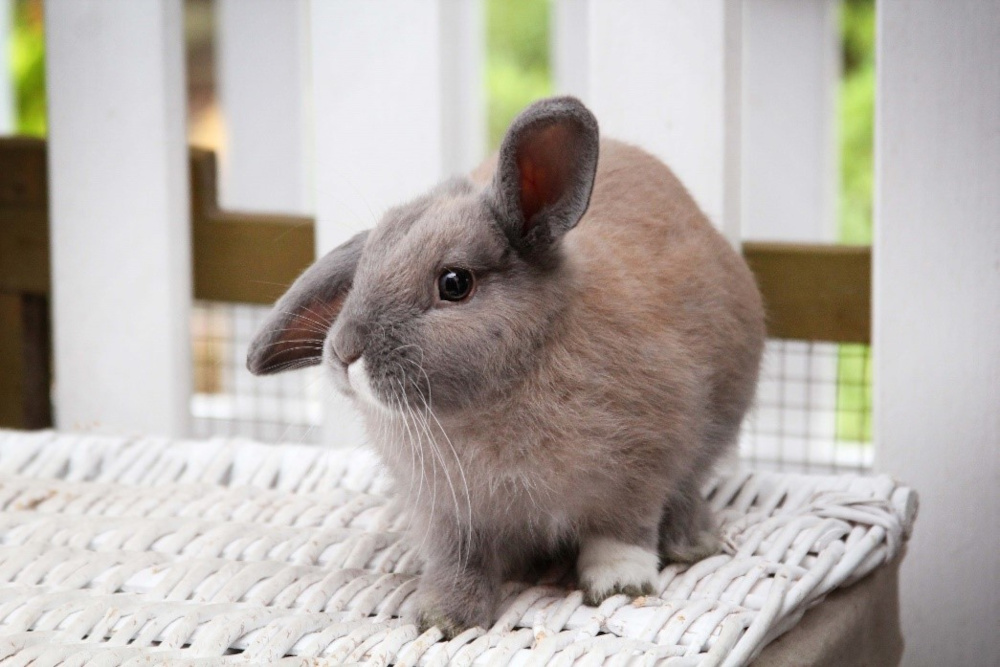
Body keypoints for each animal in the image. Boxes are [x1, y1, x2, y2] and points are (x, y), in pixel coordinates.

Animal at [247, 96, 765, 637]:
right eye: (359, 275)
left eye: (454, 283)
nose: (346, 351)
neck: (494, 398)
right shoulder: (449, 517)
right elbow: (459, 563)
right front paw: (443, 617)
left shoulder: (641, 470)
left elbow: (622, 532)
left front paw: (619, 585)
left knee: (687, 490)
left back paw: (693, 543)